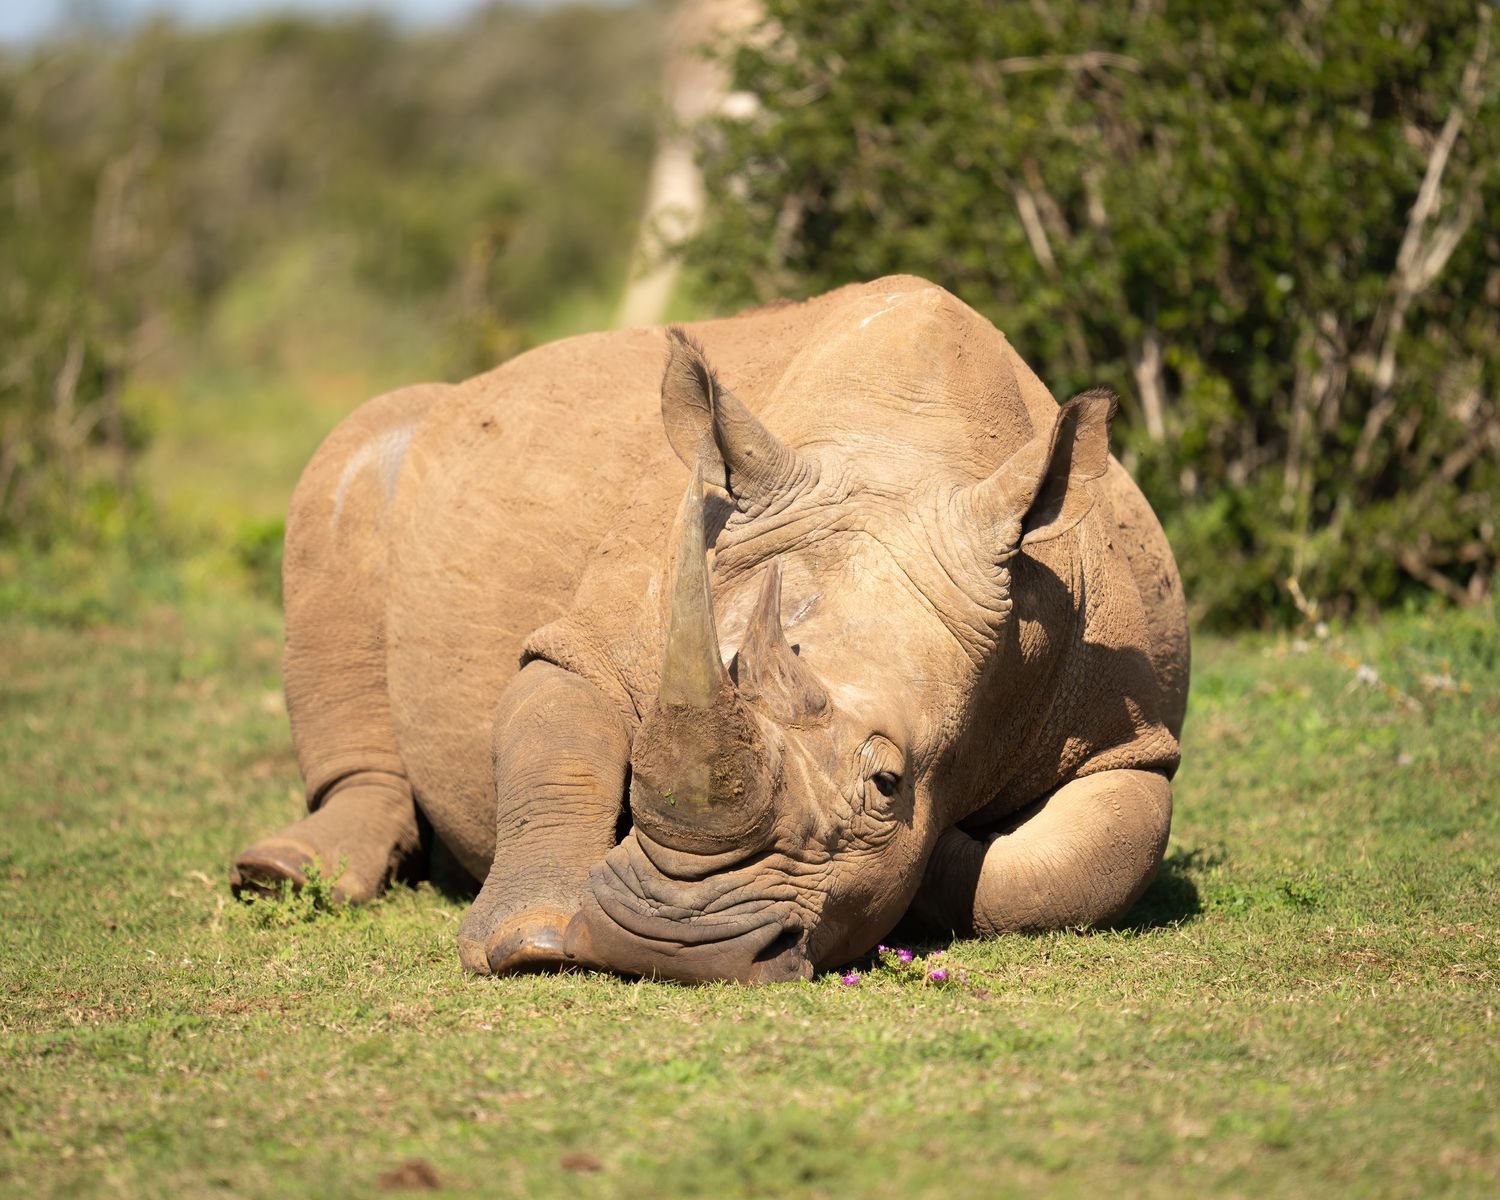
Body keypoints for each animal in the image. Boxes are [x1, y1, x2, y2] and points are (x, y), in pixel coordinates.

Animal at [230, 276, 1189, 983]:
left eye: (888, 785)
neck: (900, 453)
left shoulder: (1132, 732)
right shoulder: (597, 638)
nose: (670, 946)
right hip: (391, 445)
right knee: (347, 471)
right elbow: (553, 743)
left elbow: (1086, 866)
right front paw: (526, 941)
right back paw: (279, 874)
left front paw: (951, 852)